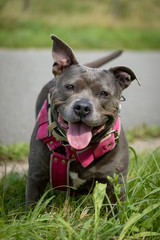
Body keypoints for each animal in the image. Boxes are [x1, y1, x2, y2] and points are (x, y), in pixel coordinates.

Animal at [25, 33, 139, 210]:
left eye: (104, 93)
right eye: (70, 87)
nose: (82, 107)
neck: (76, 150)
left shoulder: (115, 186)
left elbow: (116, 212)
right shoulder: (36, 178)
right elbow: (31, 208)